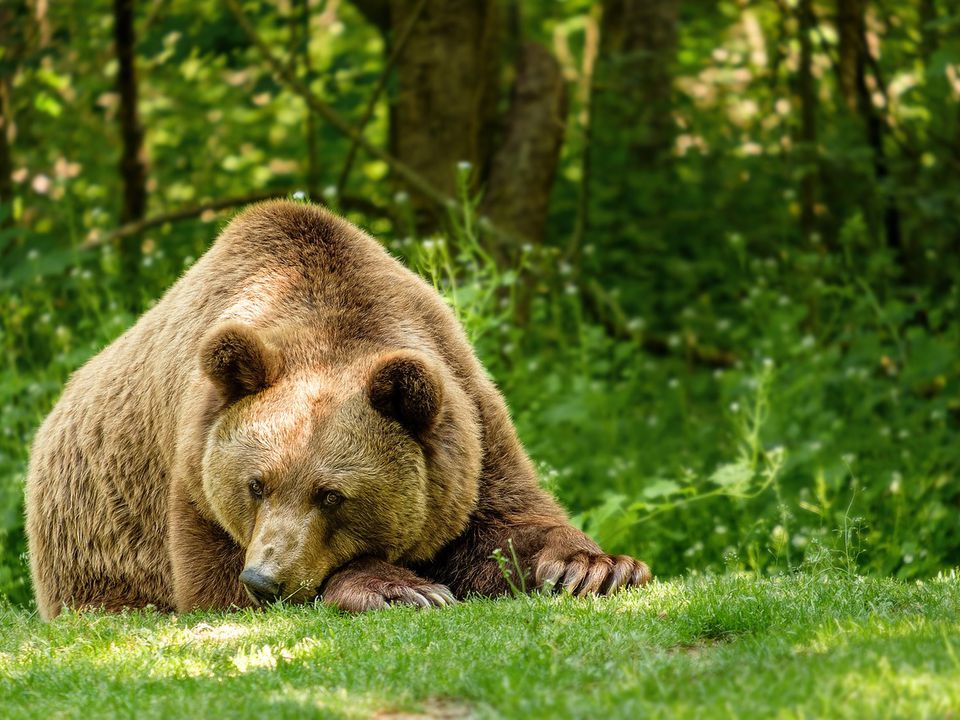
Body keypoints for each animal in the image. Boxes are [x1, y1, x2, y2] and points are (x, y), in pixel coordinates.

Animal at [24, 201, 652, 620]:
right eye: (255, 484)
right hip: (94, 543)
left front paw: (597, 567)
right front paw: (401, 587)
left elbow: (508, 523)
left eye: (331, 494)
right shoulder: (193, 473)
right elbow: (211, 583)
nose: (265, 579)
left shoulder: (468, 421)